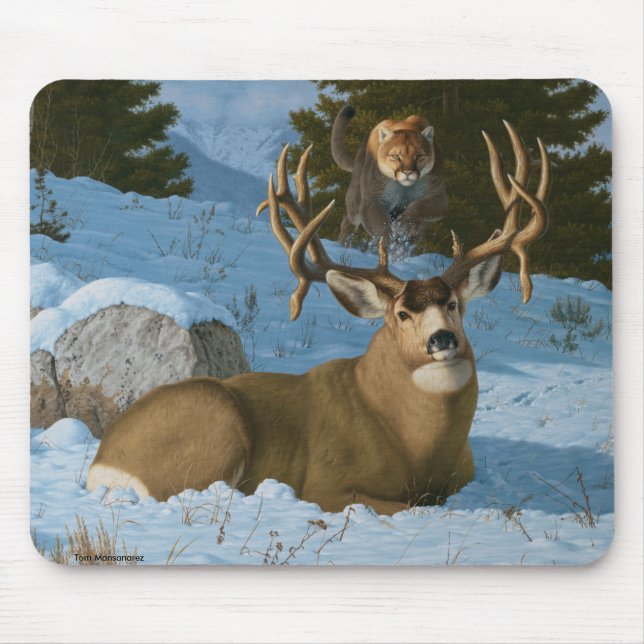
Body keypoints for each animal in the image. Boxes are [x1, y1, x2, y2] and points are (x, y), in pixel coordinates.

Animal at [86, 121, 550, 516]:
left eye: (454, 304)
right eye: (401, 313)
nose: (441, 339)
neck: (417, 448)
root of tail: (102, 464)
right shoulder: (328, 482)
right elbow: (406, 507)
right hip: (215, 425)